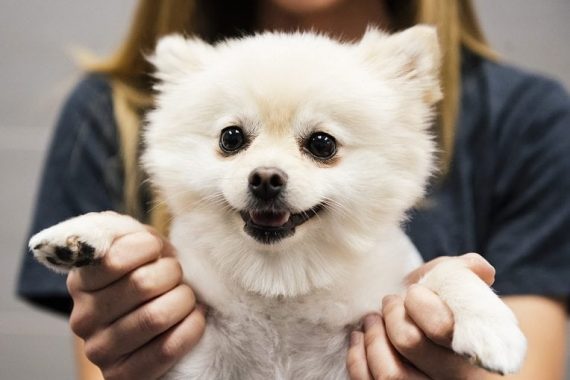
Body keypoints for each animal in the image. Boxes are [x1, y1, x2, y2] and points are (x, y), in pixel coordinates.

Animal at [30, 25, 524, 378]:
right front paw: (80, 232)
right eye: (231, 138)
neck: (280, 282)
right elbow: (141, 230)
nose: (265, 178)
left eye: (322, 144)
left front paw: (491, 325)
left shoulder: (374, 316)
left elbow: (446, 272)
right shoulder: (199, 346)